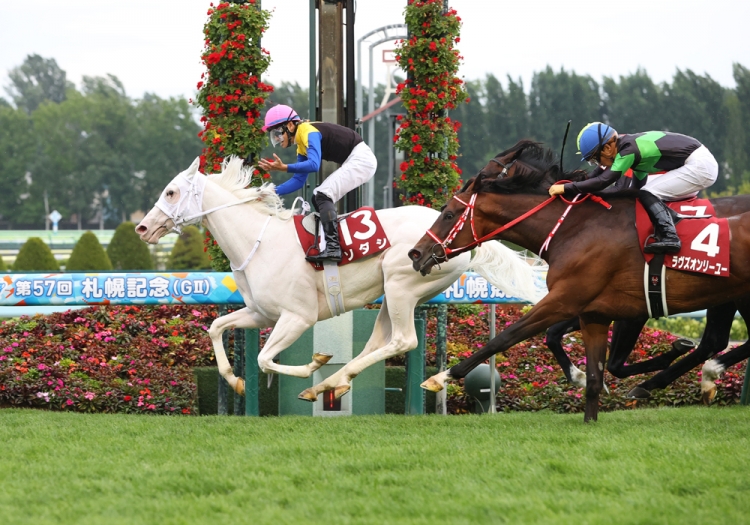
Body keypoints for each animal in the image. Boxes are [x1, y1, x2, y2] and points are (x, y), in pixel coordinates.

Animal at [137, 158, 540, 400]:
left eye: (171, 191)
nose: (142, 227)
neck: (259, 242)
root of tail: (465, 238)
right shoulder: (261, 313)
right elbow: (216, 327)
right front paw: (235, 380)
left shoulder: (297, 317)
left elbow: (266, 359)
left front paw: (314, 365)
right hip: (393, 294)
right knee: (379, 341)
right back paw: (336, 381)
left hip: (402, 285)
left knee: (403, 340)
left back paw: (332, 380)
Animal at [408, 146, 750, 422]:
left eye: (448, 214)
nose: (416, 253)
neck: (574, 227)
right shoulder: (591, 309)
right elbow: (576, 352)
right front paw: (585, 382)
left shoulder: (576, 301)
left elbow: (506, 337)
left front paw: (441, 377)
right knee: (716, 340)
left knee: (720, 341)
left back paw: (700, 374)